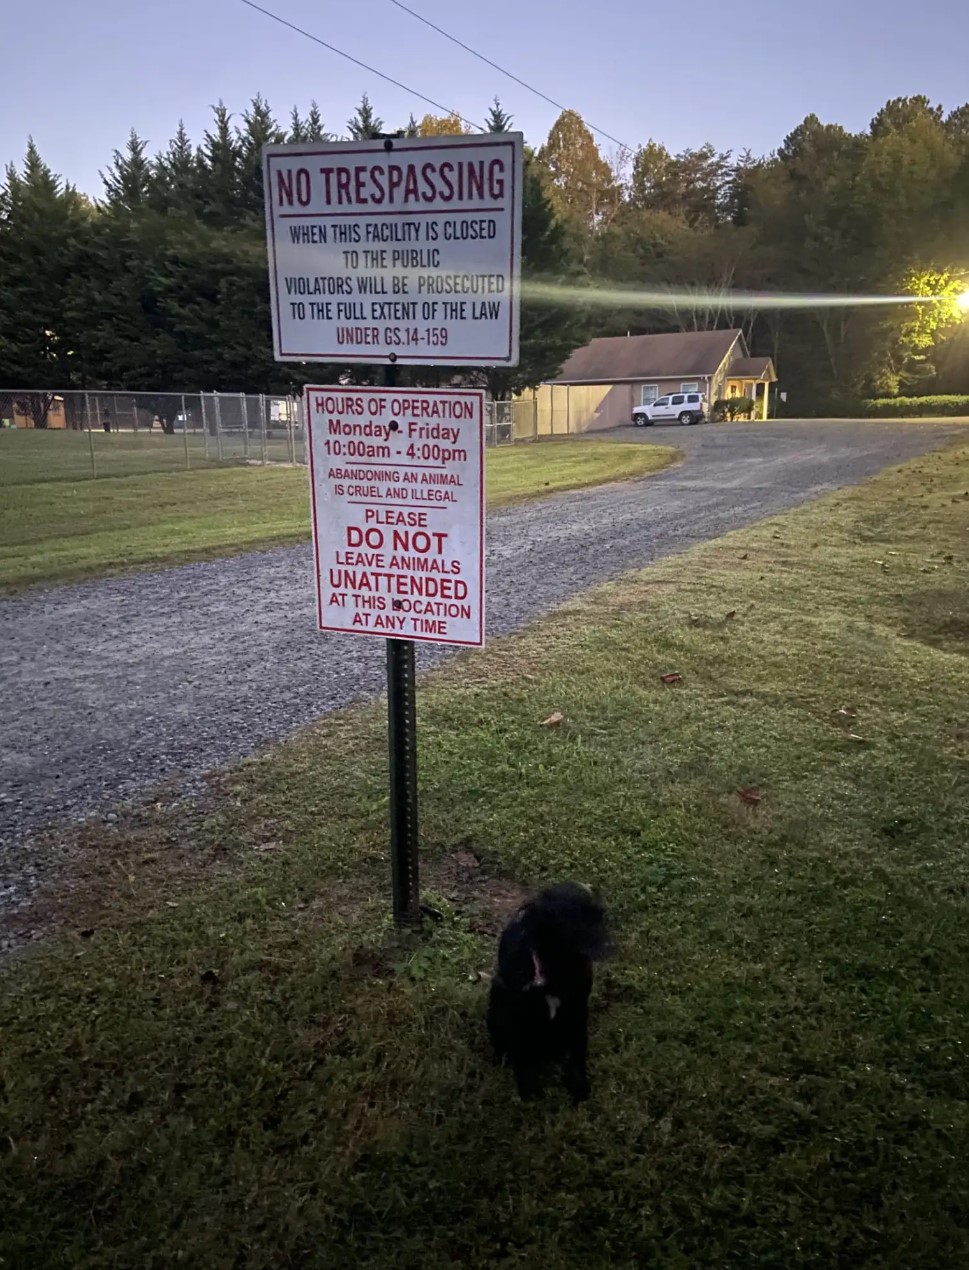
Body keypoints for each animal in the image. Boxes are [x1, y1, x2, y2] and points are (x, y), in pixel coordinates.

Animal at [487, 883, 609, 1102]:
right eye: (575, 921)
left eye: (600, 918)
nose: (610, 946)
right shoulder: (518, 1010)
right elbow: (522, 1052)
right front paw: (528, 1087)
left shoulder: (578, 1006)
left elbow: (578, 1049)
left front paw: (577, 1083)